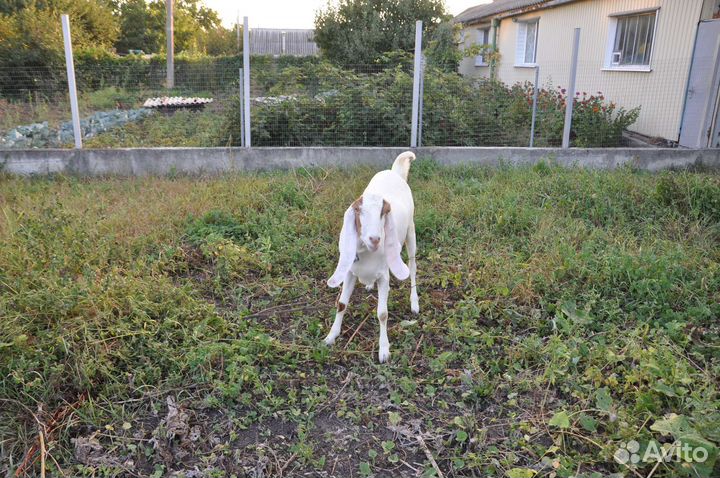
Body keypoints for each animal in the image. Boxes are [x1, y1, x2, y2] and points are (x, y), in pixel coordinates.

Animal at [324, 151, 419, 363]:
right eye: (359, 211)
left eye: (384, 212)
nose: (375, 239)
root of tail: (394, 172)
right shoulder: (350, 272)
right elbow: (341, 304)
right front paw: (331, 336)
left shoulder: (384, 276)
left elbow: (382, 313)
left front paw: (384, 350)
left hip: (411, 232)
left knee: (413, 266)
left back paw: (415, 302)